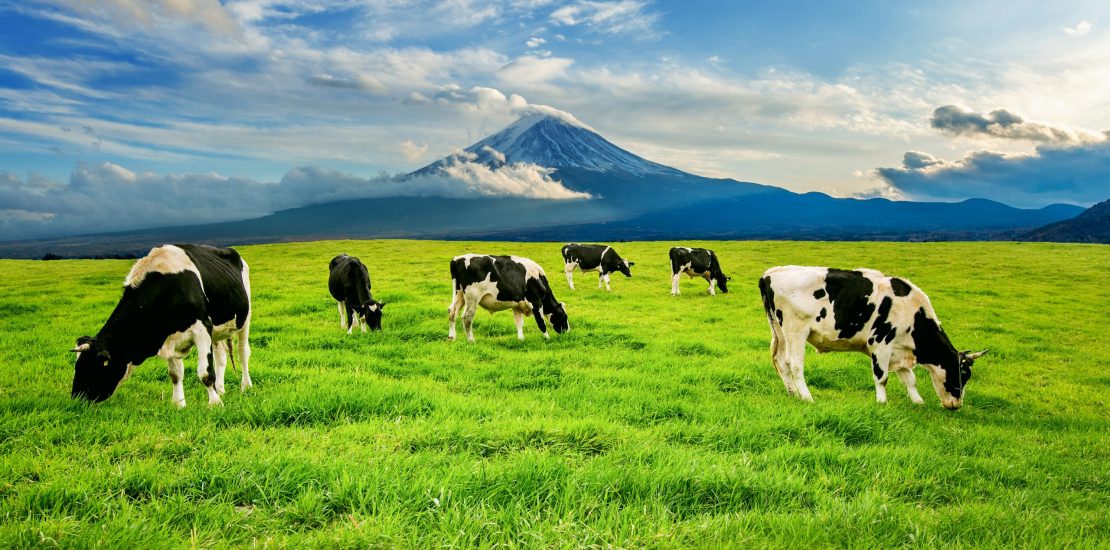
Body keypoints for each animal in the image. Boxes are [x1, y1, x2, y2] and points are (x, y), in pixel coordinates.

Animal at [70, 245, 253, 408]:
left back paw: (245, 386)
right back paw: (221, 390)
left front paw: (215, 404)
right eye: (77, 365)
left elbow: (205, 373)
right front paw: (179, 404)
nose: (76, 398)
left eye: (92, 367)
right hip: (217, 330)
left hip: (245, 318)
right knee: (221, 355)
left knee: (243, 353)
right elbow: (175, 374)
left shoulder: (202, 328)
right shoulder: (168, 336)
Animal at [754, 264, 990, 411]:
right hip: (796, 330)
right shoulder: (881, 343)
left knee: (780, 362)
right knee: (794, 364)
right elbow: (882, 377)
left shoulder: (898, 350)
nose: (957, 405)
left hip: (779, 331)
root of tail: (770, 273)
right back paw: (806, 396)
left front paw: (918, 402)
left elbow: (910, 379)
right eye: (963, 374)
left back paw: (792, 393)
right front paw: (882, 402)